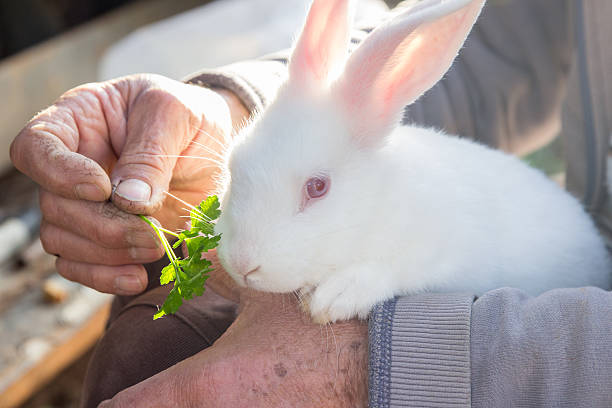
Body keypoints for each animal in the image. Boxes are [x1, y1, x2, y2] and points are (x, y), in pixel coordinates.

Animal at [213, 0, 608, 322]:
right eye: (234, 165)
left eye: (317, 187)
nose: (243, 264)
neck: (374, 210)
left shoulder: (442, 253)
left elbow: (396, 269)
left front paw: (334, 298)